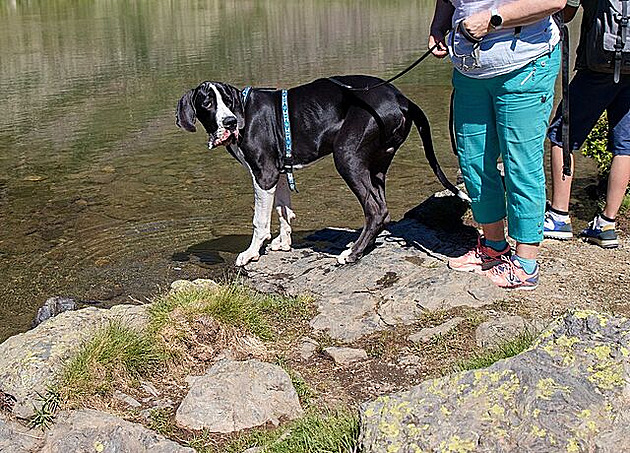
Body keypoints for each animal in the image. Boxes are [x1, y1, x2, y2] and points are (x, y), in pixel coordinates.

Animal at [176, 75, 465, 266]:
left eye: (227, 101)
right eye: (207, 103)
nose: (229, 122)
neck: (244, 111)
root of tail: (401, 98)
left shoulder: (265, 174)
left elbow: (259, 220)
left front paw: (251, 253)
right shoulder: (280, 172)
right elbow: (282, 209)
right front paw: (283, 242)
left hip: (347, 156)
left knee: (375, 209)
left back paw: (353, 254)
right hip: (377, 164)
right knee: (381, 208)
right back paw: (363, 246)